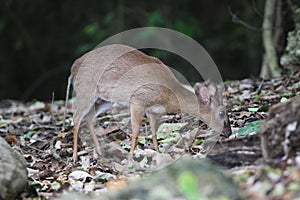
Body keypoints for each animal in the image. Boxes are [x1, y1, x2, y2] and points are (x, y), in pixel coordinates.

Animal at [68, 44, 232, 161]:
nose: (229, 132)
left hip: (104, 99)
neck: (170, 94)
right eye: (221, 112)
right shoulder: (138, 99)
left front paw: (157, 152)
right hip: (86, 90)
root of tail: (74, 66)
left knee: (88, 117)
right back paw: (75, 157)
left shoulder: (152, 109)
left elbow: (153, 131)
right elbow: (135, 132)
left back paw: (100, 151)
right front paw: (131, 156)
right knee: (76, 118)